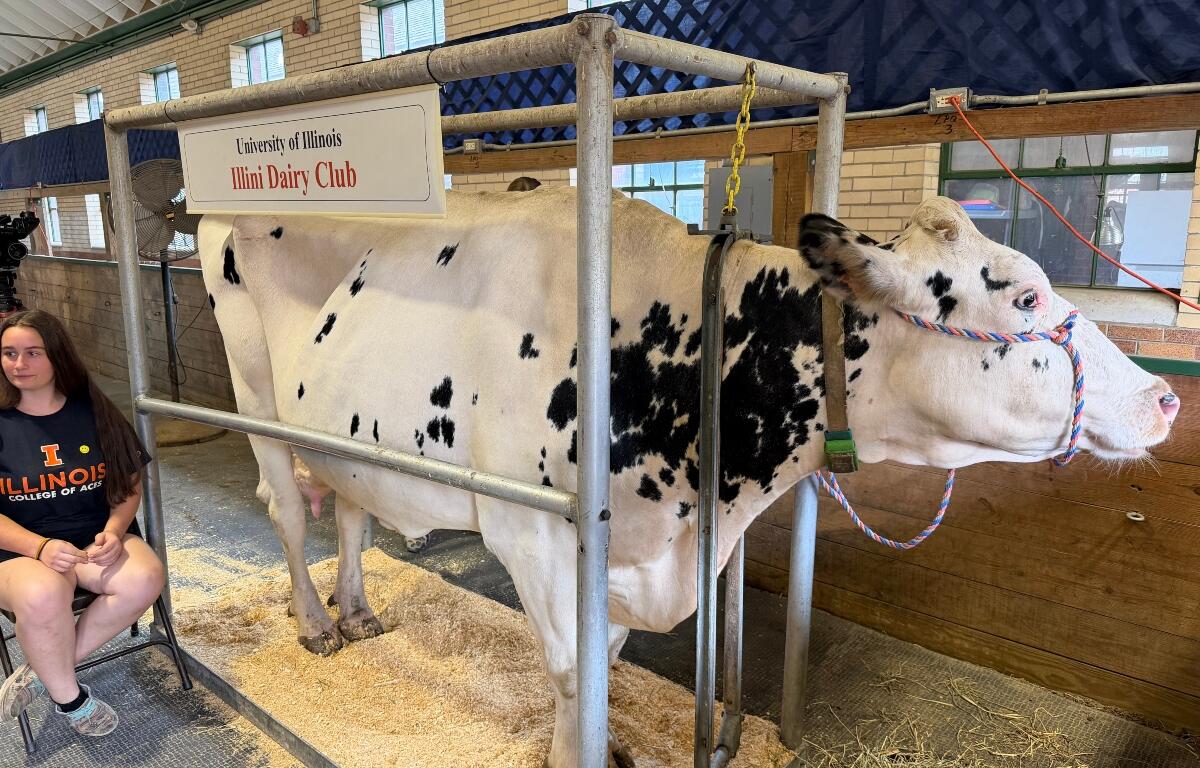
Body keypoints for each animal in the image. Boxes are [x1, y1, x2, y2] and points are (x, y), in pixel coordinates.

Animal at [198, 191, 1178, 768]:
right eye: (1024, 295)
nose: (1165, 397)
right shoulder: (534, 534)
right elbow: (572, 673)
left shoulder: (636, 554)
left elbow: (607, 664)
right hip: (255, 395)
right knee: (289, 511)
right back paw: (317, 624)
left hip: (341, 432)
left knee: (350, 510)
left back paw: (359, 611)